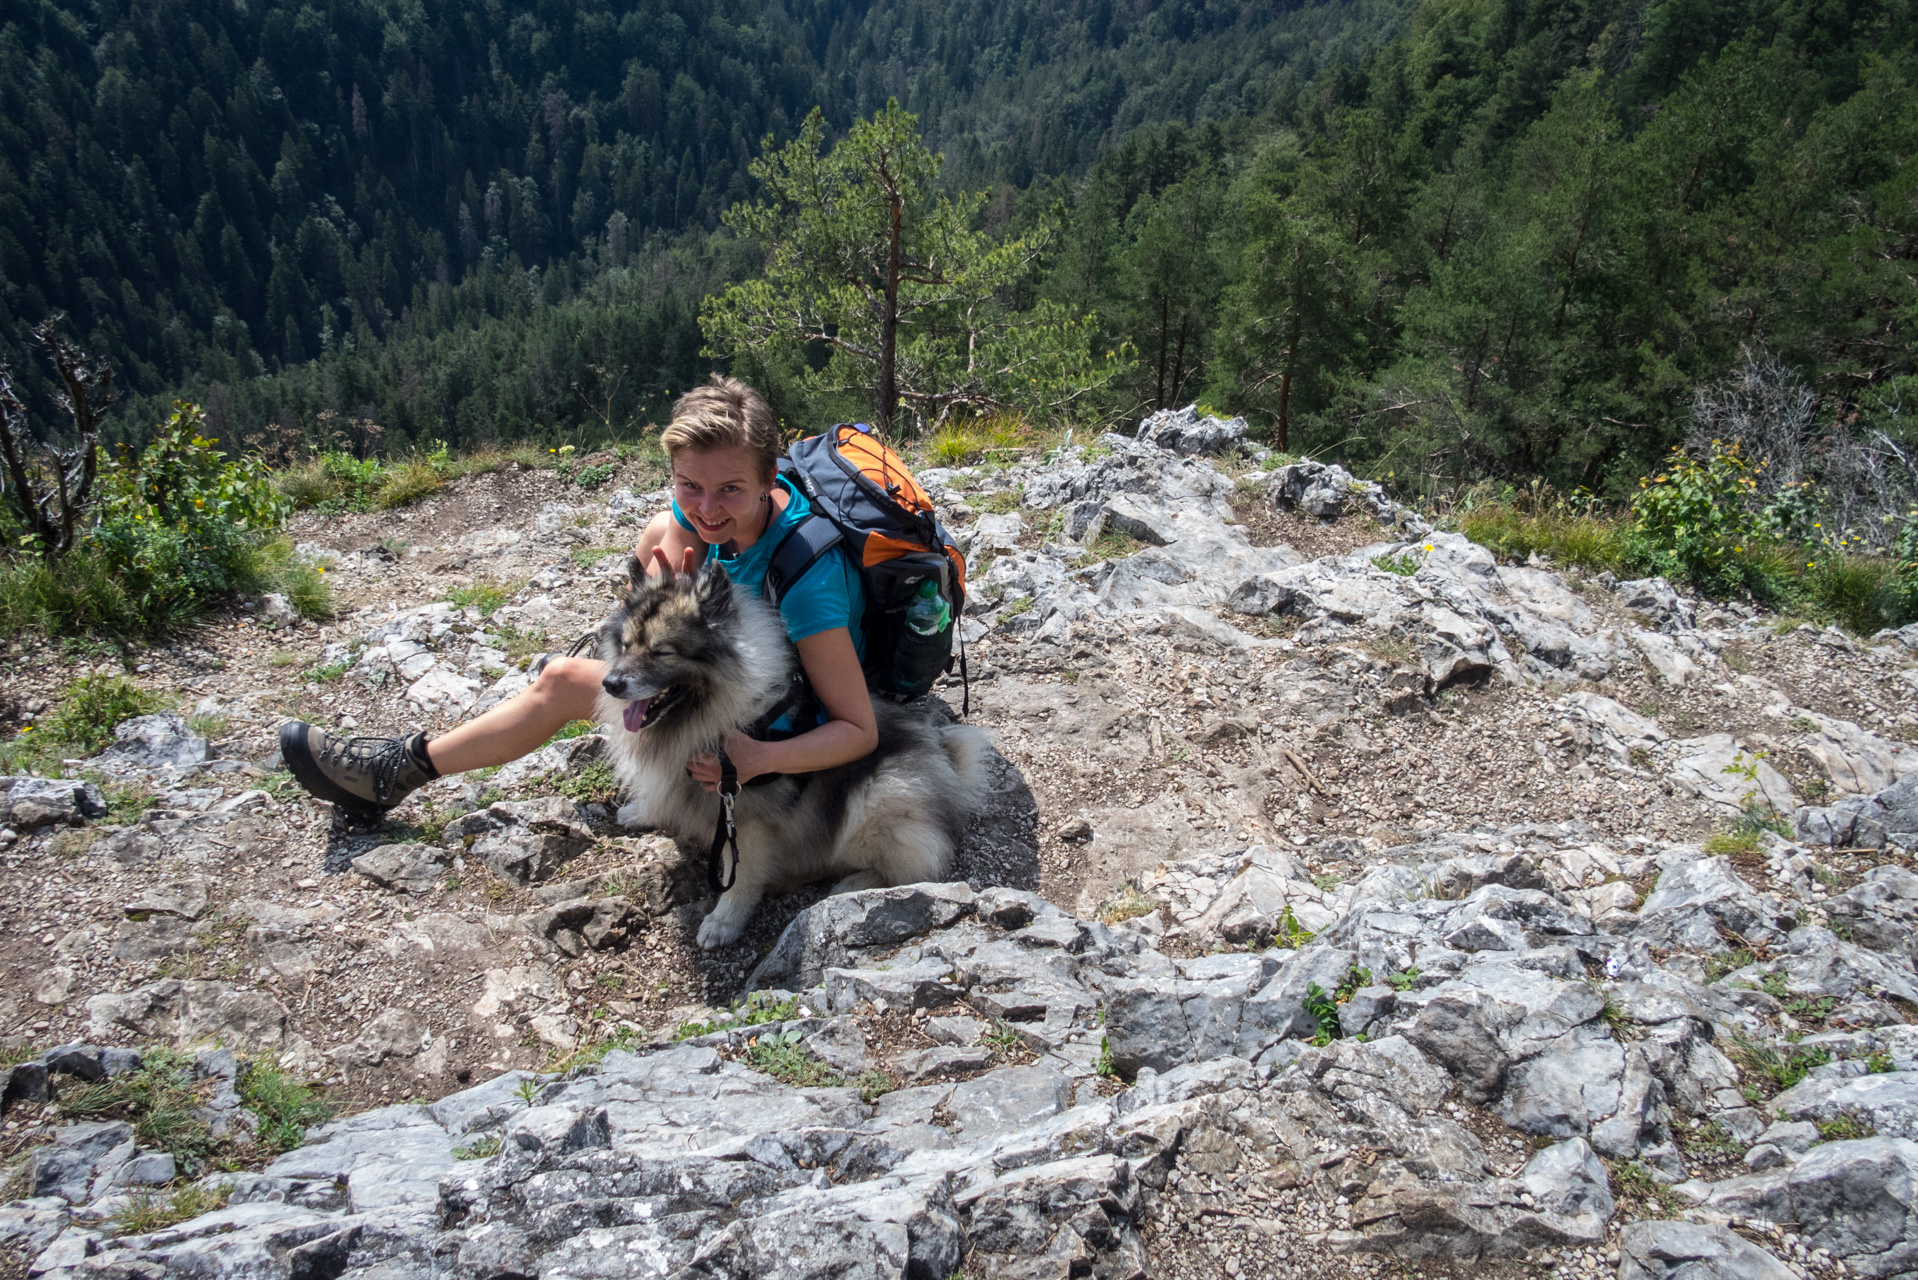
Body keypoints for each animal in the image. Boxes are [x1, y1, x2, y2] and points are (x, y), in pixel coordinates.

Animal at [594, 556, 989, 948]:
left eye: (662, 651)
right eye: (625, 646)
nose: (611, 684)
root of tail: (944, 768)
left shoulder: (744, 816)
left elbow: (739, 876)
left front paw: (723, 921)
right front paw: (641, 812)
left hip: (877, 798)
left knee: (909, 868)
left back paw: (849, 886)